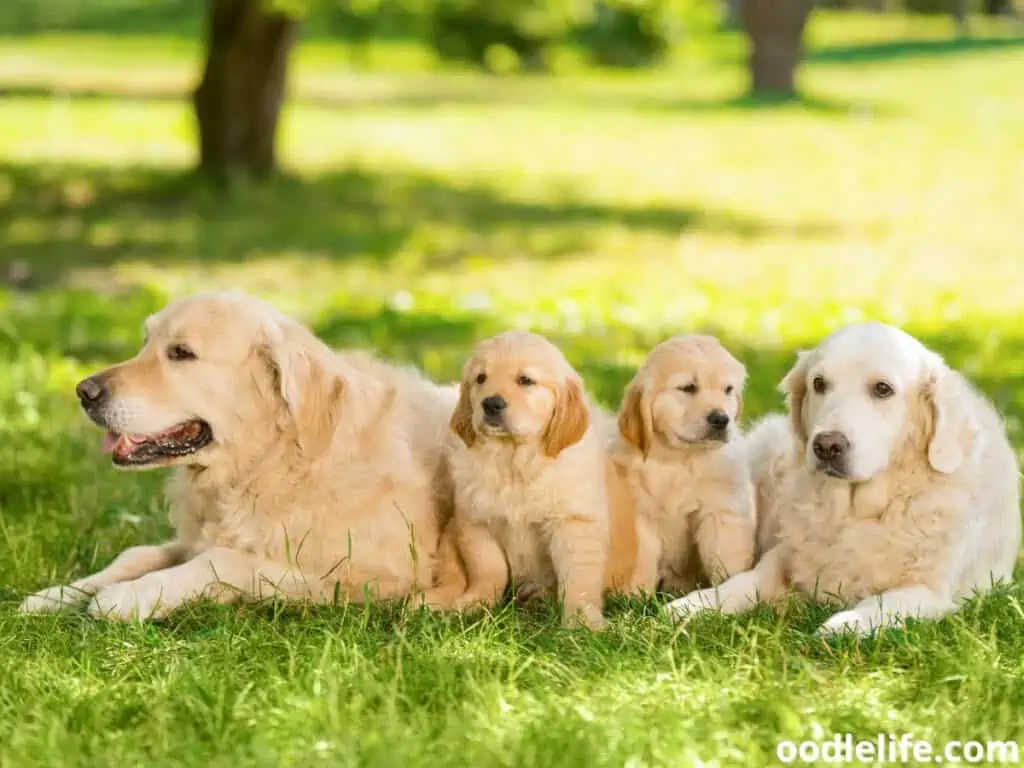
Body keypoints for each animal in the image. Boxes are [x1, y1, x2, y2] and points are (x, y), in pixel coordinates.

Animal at [19, 290, 456, 622]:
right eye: (145, 343)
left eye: (180, 353)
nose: (84, 391)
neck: (271, 463)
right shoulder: (193, 537)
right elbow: (137, 554)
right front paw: (59, 593)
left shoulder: (368, 575)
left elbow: (225, 560)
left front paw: (130, 596)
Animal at [419, 331, 610, 630]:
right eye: (481, 378)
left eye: (525, 380)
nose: (490, 404)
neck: (513, 462)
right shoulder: (475, 522)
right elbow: (489, 568)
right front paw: (476, 603)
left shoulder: (572, 524)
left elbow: (578, 579)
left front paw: (582, 622)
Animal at [606, 335, 761, 593]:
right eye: (688, 388)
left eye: (728, 390)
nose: (721, 419)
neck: (679, 459)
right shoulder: (640, 513)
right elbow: (642, 559)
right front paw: (635, 595)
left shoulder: (720, 510)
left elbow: (725, 556)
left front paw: (726, 588)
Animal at [667, 323, 1019, 638]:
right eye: (819, 383)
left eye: (883, 389)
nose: (827, 446)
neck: (855, 512)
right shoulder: (785, 556)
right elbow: (746, 580)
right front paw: (695, 604)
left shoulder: (931, 592)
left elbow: (882, 603)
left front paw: (845, 624)